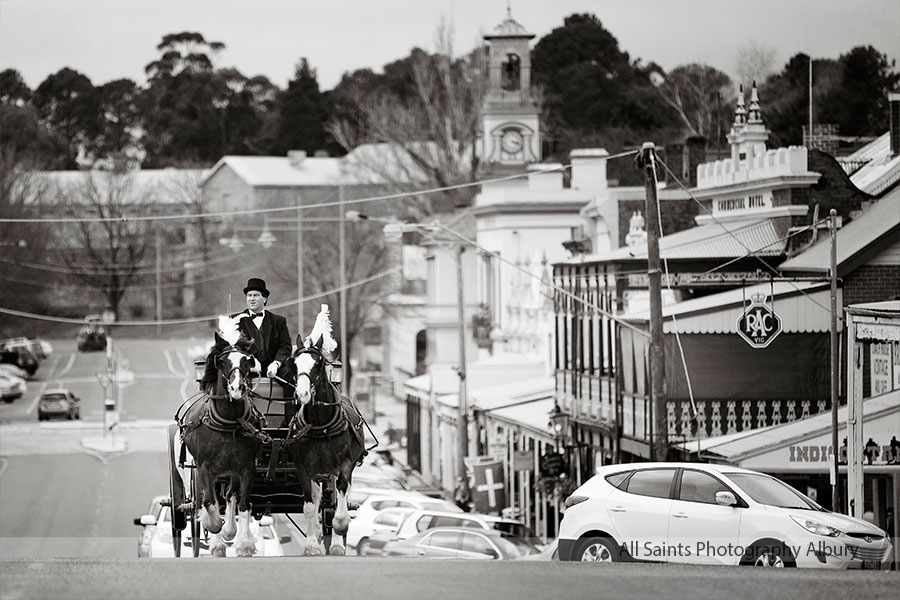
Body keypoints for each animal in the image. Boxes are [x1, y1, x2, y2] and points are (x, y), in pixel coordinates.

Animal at [178, 316, 264, 556]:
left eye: (247, 360)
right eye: (223, 361)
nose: (237, 388)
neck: (228, 421)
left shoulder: (247, 467)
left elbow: (243, 505)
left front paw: (242, 542)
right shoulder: (204, 467)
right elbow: (209, 502)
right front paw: (213, 530)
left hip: (232, 470)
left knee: (231, 496)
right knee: (212, 499)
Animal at [290, 308, 370, 556]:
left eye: (318, 363)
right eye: (294, 363)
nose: (302, 394)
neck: (320, 423)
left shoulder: (344, 465)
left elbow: (338, 507)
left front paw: (338, 533)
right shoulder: (303, 468)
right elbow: (309, 506)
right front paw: (311, 543)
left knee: (339, 498)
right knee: (317, 499)